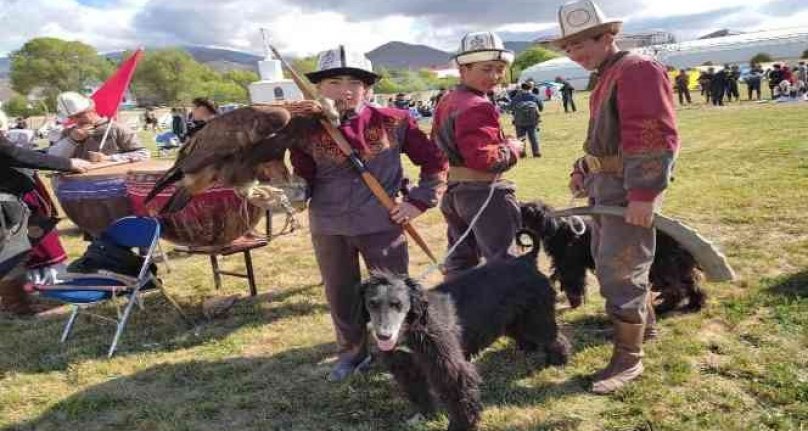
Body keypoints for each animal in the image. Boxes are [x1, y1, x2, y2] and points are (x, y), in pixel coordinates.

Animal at [362, 233, 572, 431]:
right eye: (371, 304)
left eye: (398, 304)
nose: (383, 336)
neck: (413, 326)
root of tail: (526, 260)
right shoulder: (406, 367)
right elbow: (419, 392)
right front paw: (426, 415)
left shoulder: (447, 365)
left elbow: (458, 394)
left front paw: (461, 425)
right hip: (515, 319)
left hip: (536, 316)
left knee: (554, 337)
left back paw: (558, 360)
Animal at [520, 201, 704, 312]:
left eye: (527, 210)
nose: (519, 203)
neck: (559, 229)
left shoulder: (571, 266)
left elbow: (573, 284)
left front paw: (574, 302)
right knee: (689, 283)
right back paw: (695, 304)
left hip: (663, 267)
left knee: (678, 288)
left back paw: (667, 307)